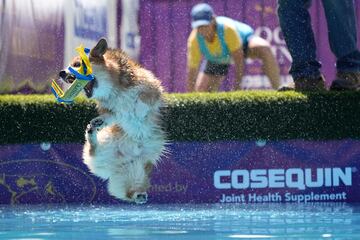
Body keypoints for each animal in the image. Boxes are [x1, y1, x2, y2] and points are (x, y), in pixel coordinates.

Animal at [59, 38, 166, 203]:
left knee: (132, 189)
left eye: (77, 64)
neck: (113, 88)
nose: (61, 73)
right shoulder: (112, 111)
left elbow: (143, 98)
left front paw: (139, 110)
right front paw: (98, 121)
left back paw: (139, 195)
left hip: (137, 172)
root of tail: (121, 162)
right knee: (93, 151)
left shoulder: (151, 86)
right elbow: (112, 115)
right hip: (106, 146)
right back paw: (91, 133)